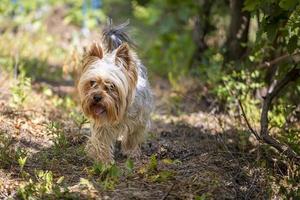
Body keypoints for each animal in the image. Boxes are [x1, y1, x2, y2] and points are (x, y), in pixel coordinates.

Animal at [78, 21, 152, 163]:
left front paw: (131, 151)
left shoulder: (139, 120)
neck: (118, 111)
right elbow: (101, 140)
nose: (96, 97)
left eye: (111, 86)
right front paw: (104, 160)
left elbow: (133, 135)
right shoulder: (102, 125)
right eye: (92, 83)